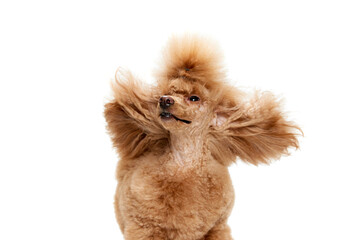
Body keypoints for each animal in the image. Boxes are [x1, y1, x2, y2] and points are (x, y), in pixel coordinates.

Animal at [104, 34, 300, 239]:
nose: (164, 100)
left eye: (194, 98)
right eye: (165, 94)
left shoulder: (217, 226)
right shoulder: (144, 226)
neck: (183, 164)